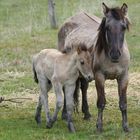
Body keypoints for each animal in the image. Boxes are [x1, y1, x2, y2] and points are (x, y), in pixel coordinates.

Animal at [57, 3, 130, 132]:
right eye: (107, 27)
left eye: (123, 27)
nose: (115, 54)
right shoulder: (99, 77)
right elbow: (101, 102)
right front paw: (99, 127)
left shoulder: (123, 77)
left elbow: (123, 103)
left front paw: (125, 127)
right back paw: (65, 114)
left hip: (85, 74)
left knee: (84, 88)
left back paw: (87, 114)